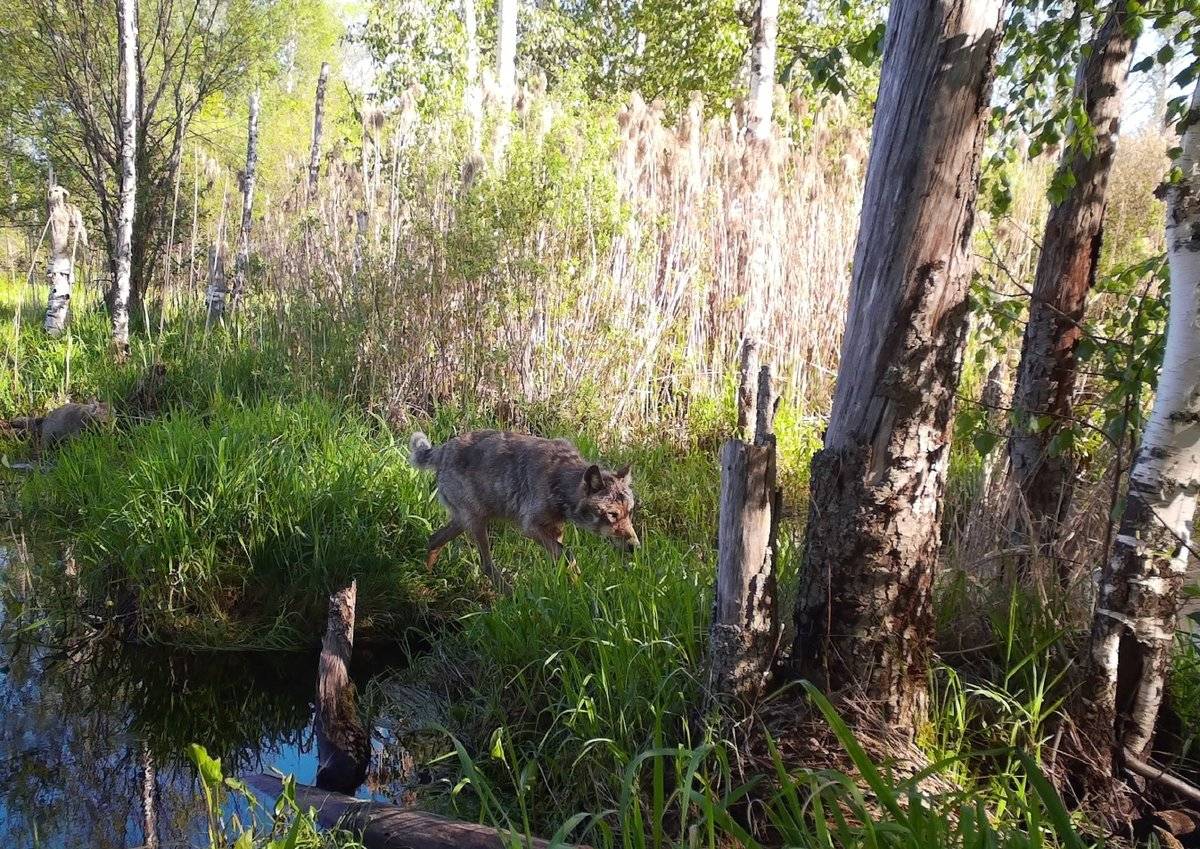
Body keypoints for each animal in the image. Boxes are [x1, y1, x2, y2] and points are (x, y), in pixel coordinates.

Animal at [410, 426, 638, 587]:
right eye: (612, 515)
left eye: (629, 513)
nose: (635, 547)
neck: (559, 481)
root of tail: (442, 449)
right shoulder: (530, 528)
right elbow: (569, 555)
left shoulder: (555, 530)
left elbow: (562, 560)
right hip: (477, 524)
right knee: (486, 566)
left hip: (464, 522)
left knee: (433, 540)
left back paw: (426, 577)